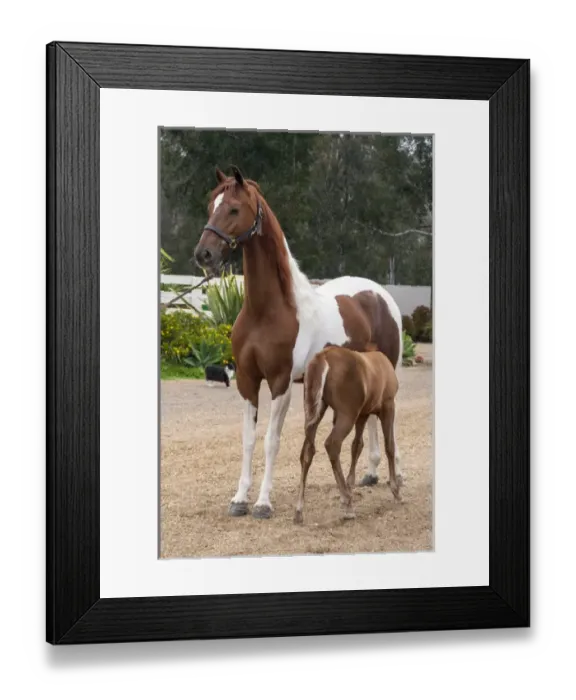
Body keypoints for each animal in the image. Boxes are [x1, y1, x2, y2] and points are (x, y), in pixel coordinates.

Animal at [294, 341, 402, 525]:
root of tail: (323, 356)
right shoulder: (388, 407)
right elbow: (390, 446)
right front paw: (395, 490)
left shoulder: (363, 414)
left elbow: (357, 446)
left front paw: (350, 485)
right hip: (347, 415)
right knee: (332, 445)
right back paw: (347, 505)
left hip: (316, 412)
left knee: (307, 452)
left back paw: (300, 510)